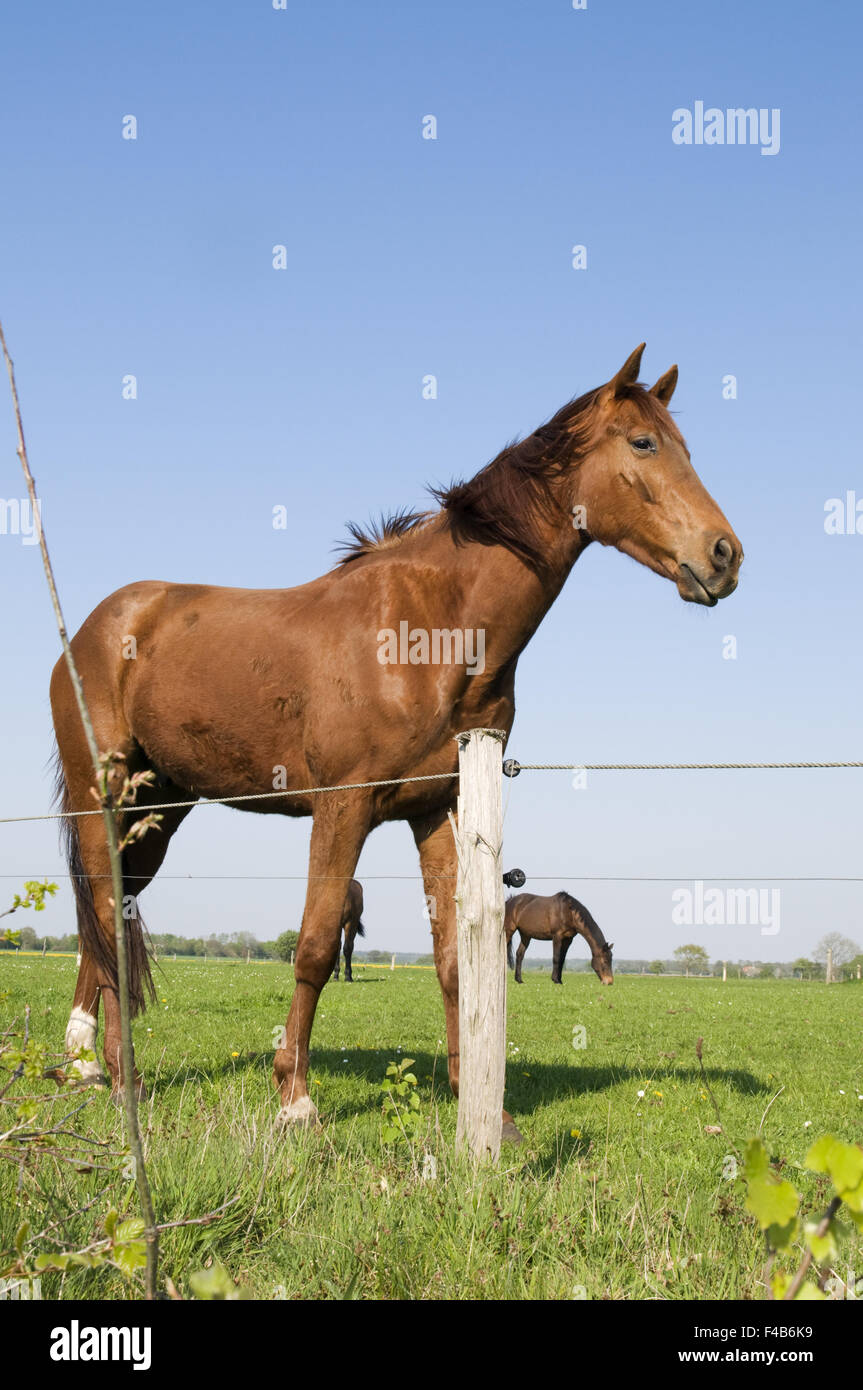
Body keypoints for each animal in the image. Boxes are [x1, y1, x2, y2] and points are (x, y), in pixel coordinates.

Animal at [50, 339, 739, 1139]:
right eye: (642, 443)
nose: (724, 555)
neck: (434, 630)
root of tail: (95, 628)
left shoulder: (435, 810)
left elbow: (453, 958)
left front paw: (479, 1108)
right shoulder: (342, 809)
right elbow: (316, 946)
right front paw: (295, 1100)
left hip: (159, 812)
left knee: (107, 921)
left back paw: (87, 1063)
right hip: (101, 797)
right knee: (104, 914)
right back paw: (116, 1076)